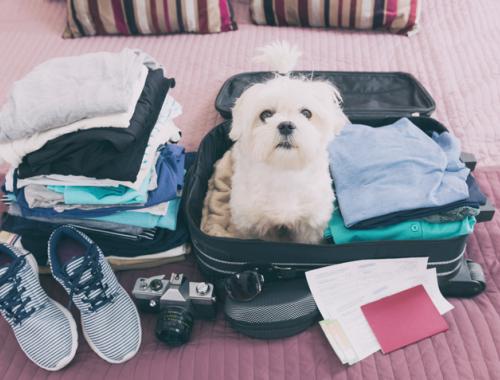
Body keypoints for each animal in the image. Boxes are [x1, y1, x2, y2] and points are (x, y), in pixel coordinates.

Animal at [229, 41, 348, 243]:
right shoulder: (255, 225)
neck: (285, 170)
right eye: (266, 114)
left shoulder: (310, 224)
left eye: (306, 113)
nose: (286, 125)